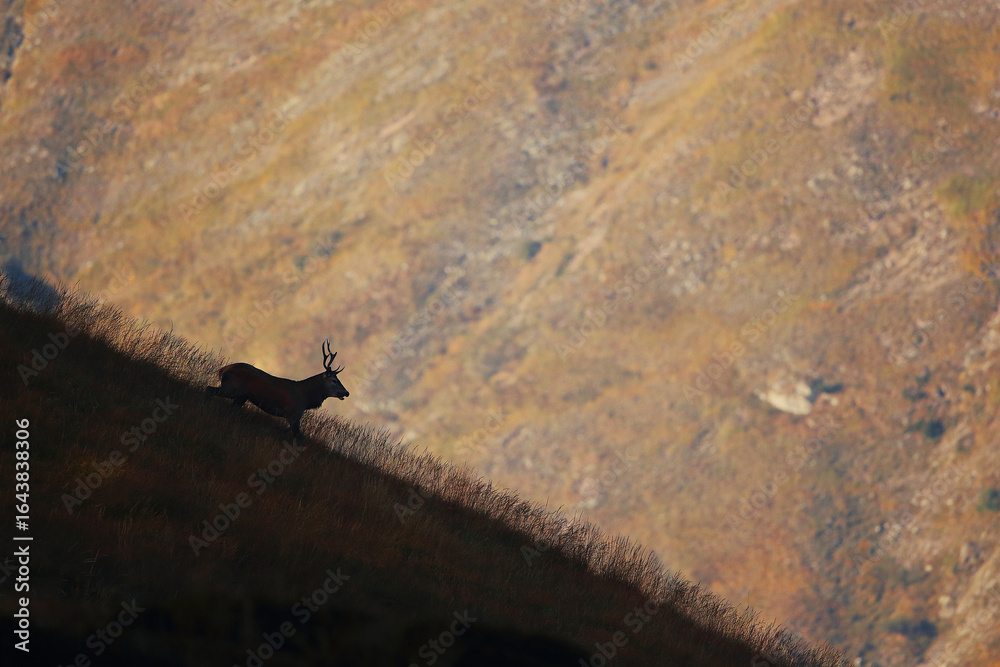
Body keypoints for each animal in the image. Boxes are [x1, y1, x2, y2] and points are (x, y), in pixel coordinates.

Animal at [206, 339, 349, 442]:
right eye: (334, 380)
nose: (346, 392)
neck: (306, 399)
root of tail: (223, 369)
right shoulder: (292, 413)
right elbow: (298, 437)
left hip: (241, 396)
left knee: (232, 410)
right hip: (232, 388)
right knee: (209, 389)